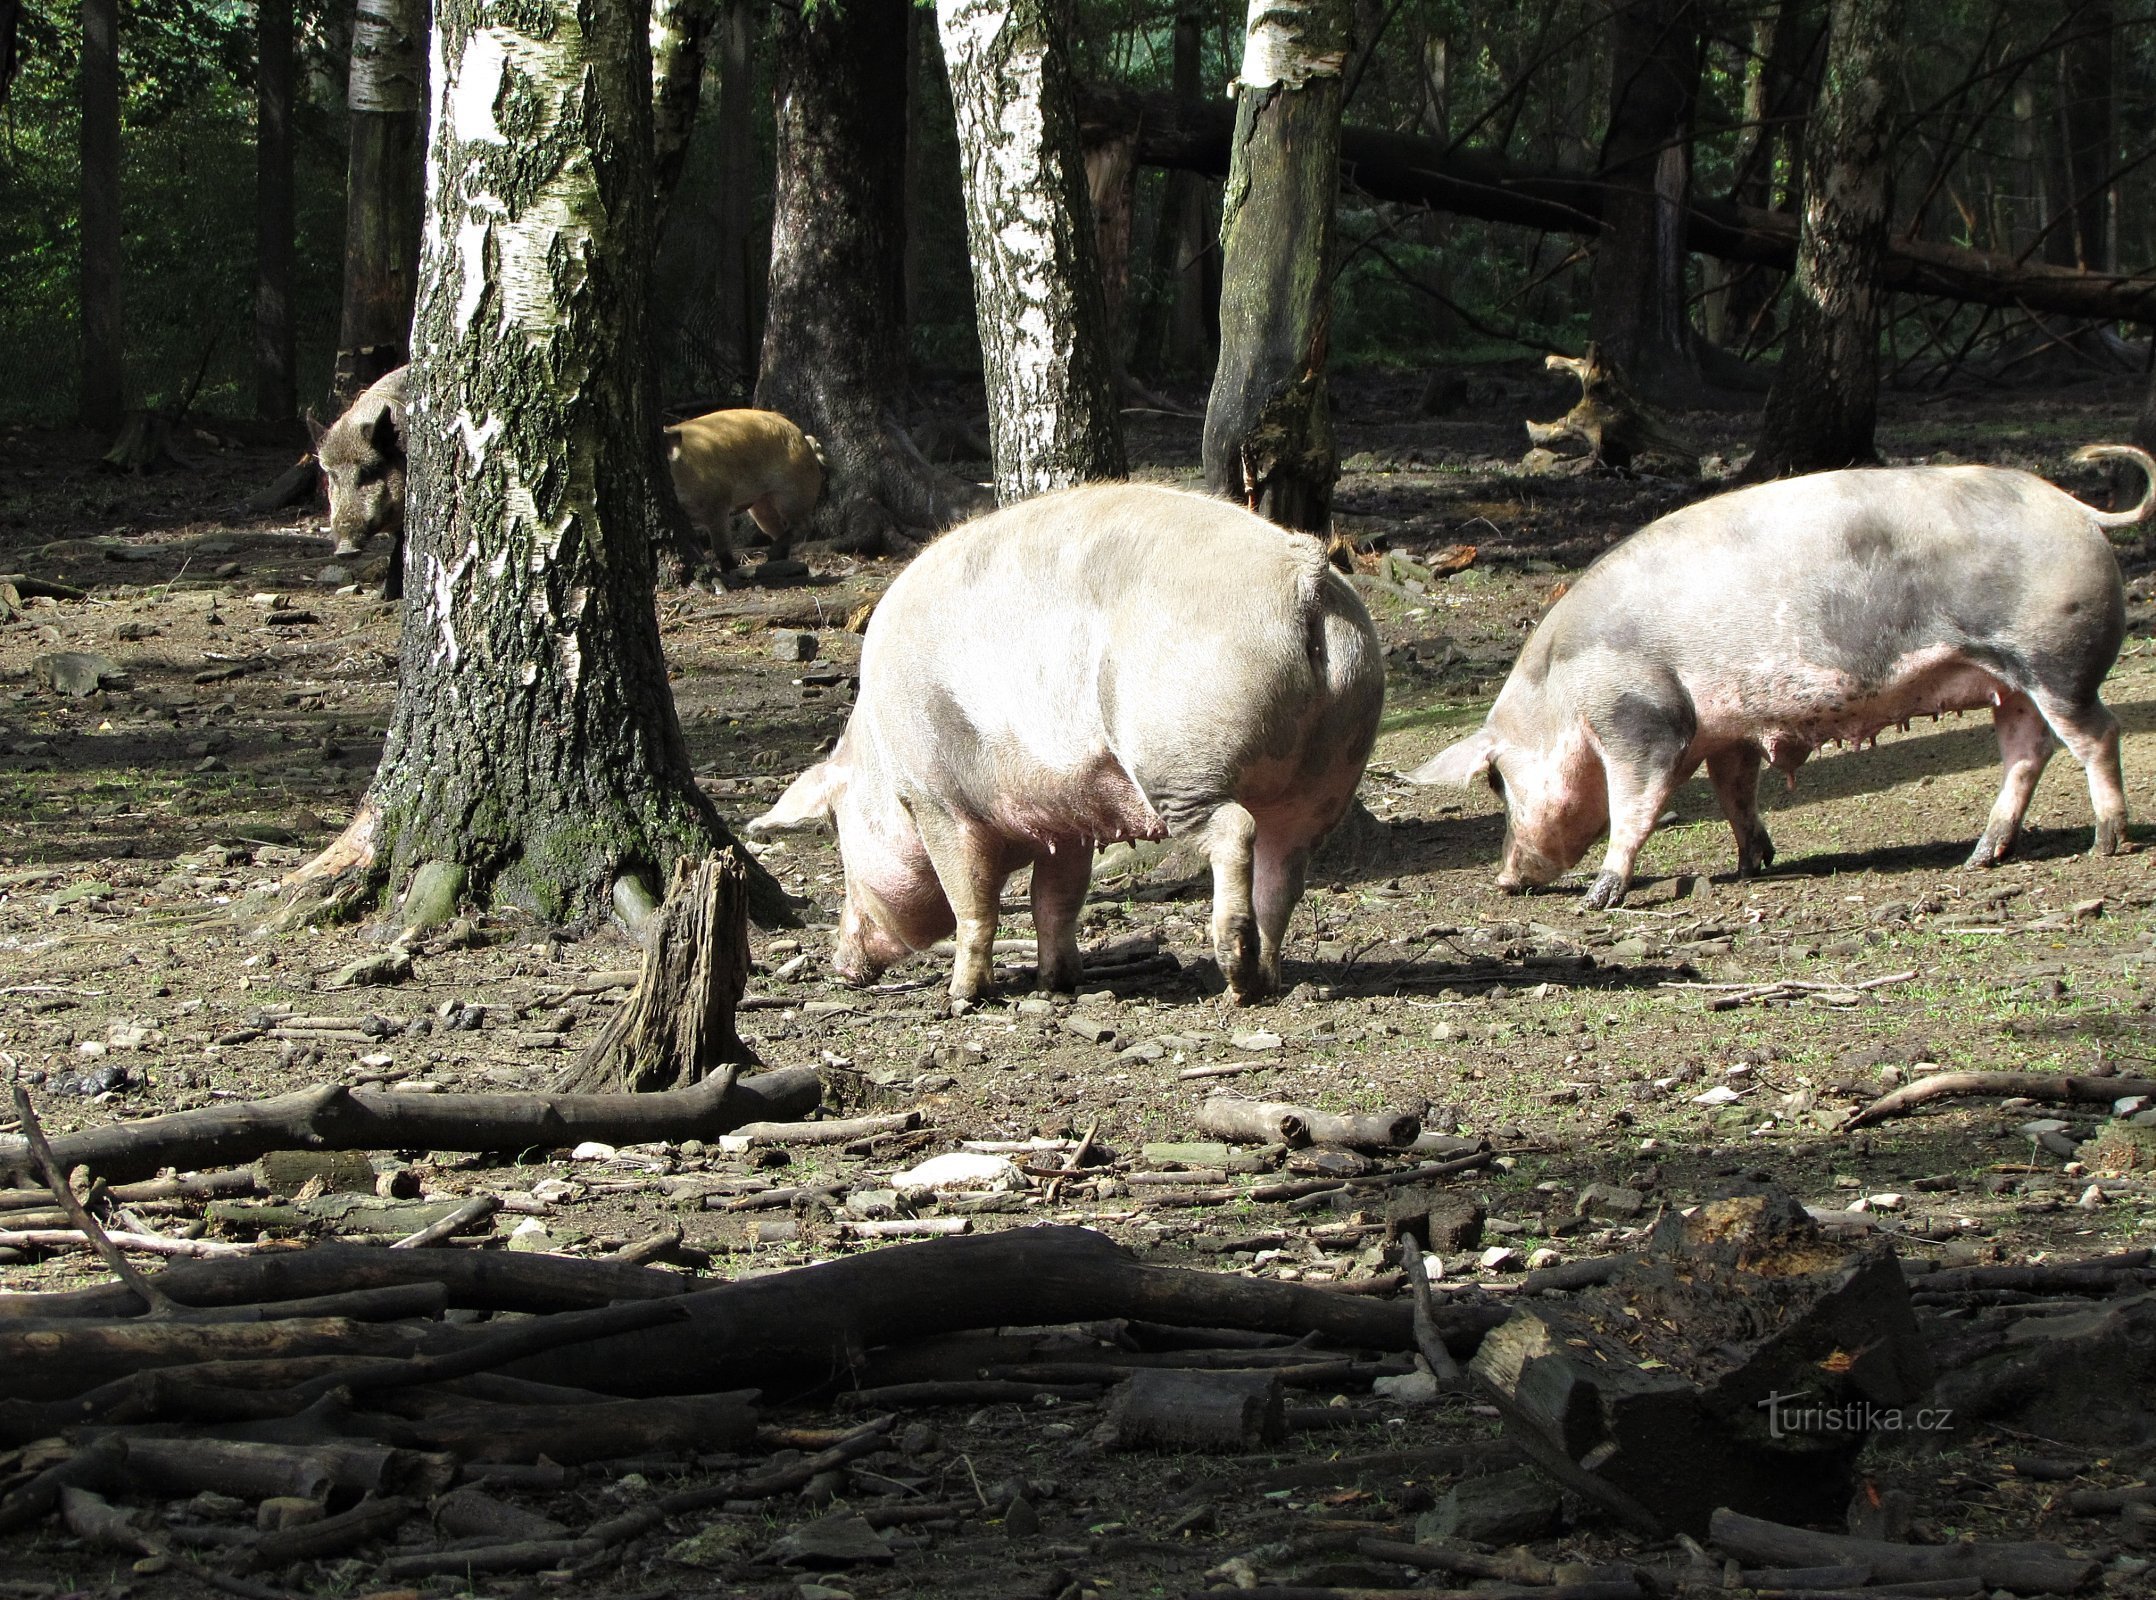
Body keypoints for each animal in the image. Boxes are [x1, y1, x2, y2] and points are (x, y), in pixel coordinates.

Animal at [1414, 444, 2156, 909]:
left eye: (1496, 781)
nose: (1503, 879)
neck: (1561, 695)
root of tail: (2078, 509)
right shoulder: (1725, 732)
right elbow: (1735, 795)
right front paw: (1751, 866)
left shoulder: (1643, 718)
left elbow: (1635, 806)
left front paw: (1601, 898)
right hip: (2011, 681)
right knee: (2026, 752)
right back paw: (1980, 857)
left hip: (2055, 661)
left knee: (2099, 734)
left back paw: (2106, 845)